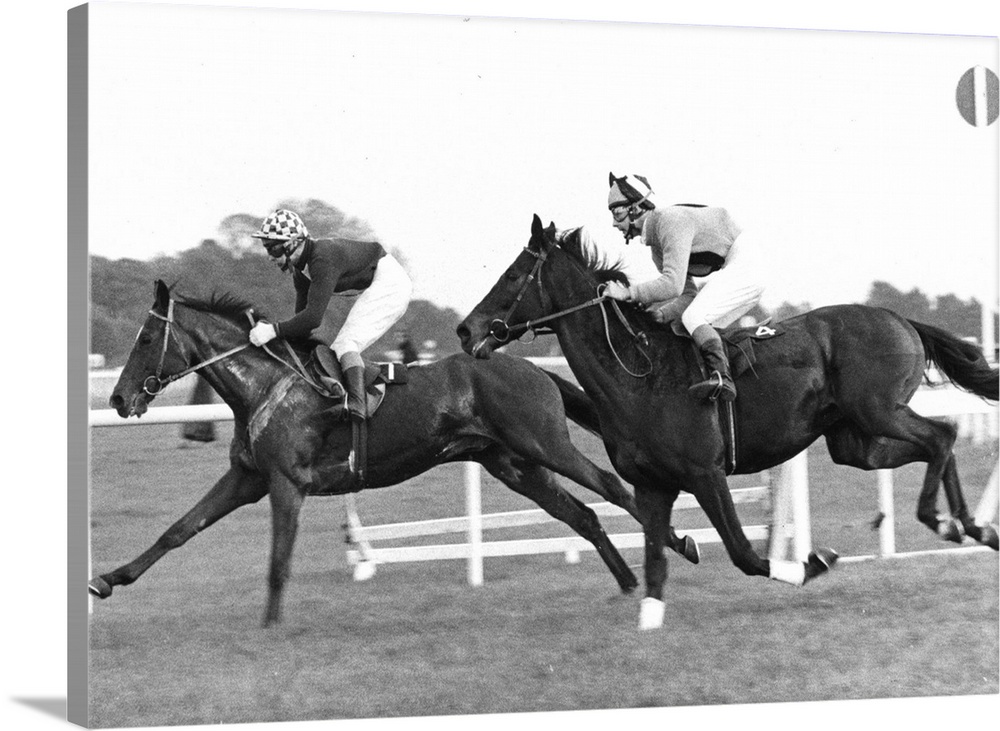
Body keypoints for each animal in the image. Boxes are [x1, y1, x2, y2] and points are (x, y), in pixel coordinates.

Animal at [90, 280, 704, 628]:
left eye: (147, 339)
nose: (118, 399)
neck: (265, 386)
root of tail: (534, 368)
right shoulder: (249, 479)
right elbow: (178, 529)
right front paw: (106, 581)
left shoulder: (287, 484)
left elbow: (278, 560)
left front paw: (269, 626)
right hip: (514, 465)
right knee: (581, 514)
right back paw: (627, 584)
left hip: (543, 444)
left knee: (613, 489)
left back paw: (678, 547)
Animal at [458, 214, 996, 632]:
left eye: (513, 276)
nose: (466, 330)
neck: (640, 377)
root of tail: (899, 318)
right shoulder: (653, 485)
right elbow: (655, 560)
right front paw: (648, 622)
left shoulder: (706, 473)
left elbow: (744, 554)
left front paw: (812, 563)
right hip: (854, 442)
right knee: (935, 443)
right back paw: (969, 526)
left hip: (879, 411)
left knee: (942, 434)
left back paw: (948, 522)